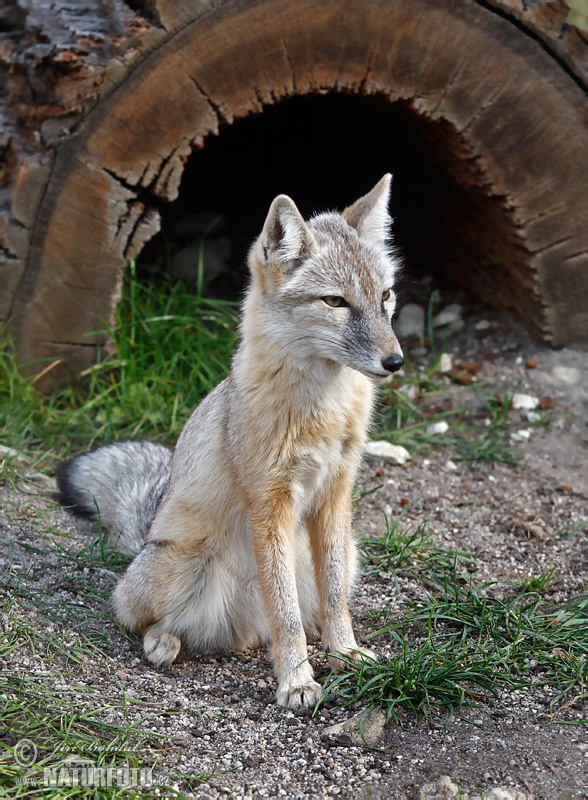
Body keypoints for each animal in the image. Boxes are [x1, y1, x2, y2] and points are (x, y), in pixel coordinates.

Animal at [56, 173, 404, 708]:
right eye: (335, 302)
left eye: (385, 296)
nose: (395, 361)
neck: (322, 410)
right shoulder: (270, 503)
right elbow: (285, 614)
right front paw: (296, 681)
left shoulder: (334, 496)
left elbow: (333, 600)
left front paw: (344, 652)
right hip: (188, 568)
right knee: (141, 617)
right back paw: (162, 642)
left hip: (349, 550)